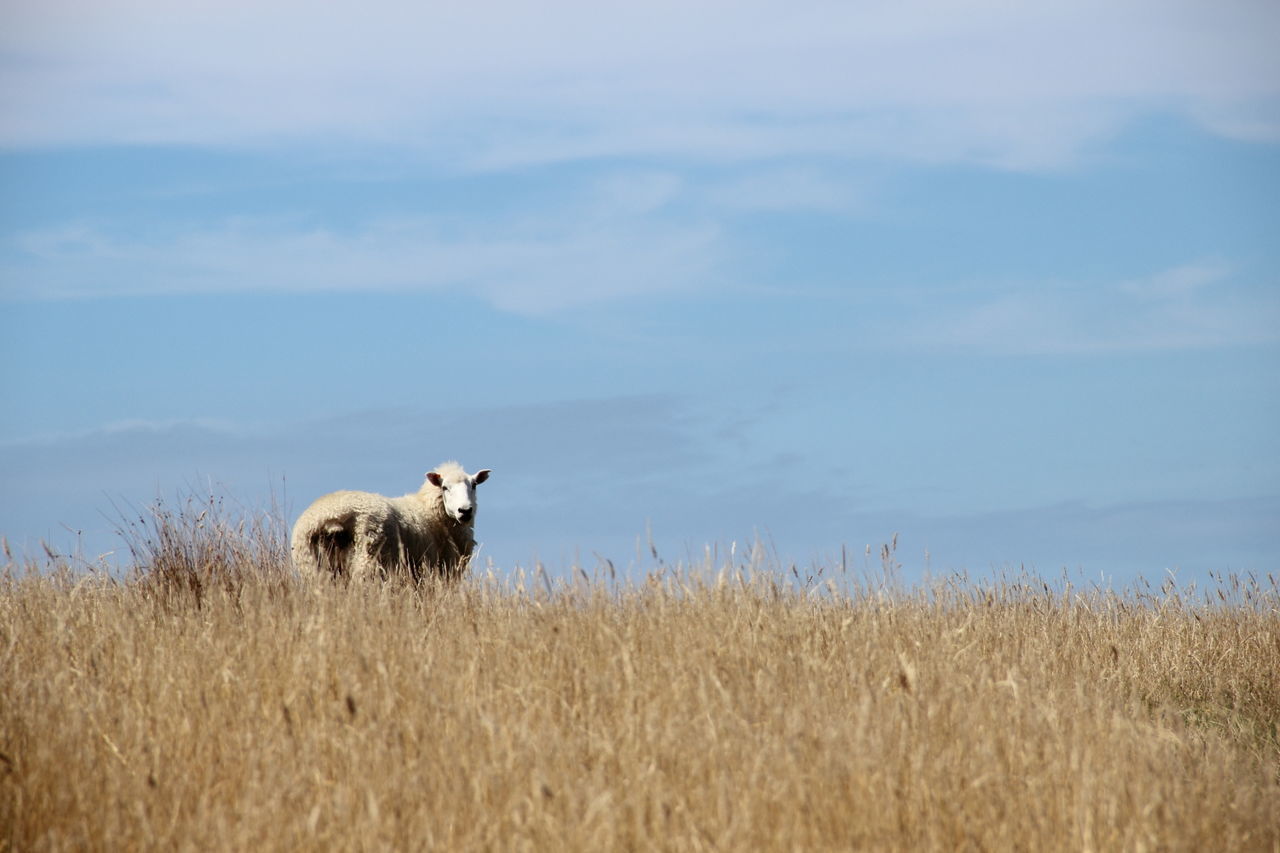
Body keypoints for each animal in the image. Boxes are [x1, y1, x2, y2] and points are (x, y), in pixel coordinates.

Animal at [293, 461, 491, 581]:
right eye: (444, 487)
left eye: (474, 485)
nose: (465, 511)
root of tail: (332, 517)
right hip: (368, 560)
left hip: (313, 568)